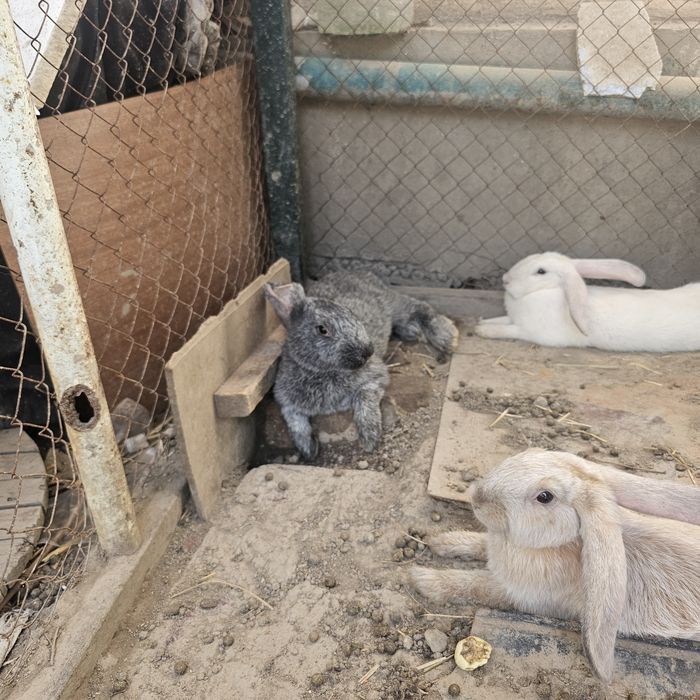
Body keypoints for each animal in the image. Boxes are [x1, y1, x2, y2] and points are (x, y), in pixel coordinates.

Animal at [264, 271, 458, 461]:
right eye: (322, 329)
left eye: (350, 312)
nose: (368, 351)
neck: (321, 371)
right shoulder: (286, 401)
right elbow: (294, 420)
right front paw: (308, 449)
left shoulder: (374, 377)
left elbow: (365, 399)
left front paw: (369, 437)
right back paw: (412, 331)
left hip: (392, 303)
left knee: (420, 307)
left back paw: (447, 337)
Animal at [410, 449, 700, 681]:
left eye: (545, 496)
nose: (477, 498)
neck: (561, 544)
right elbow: (478, 545)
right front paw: (443, 542)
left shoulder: (520, 595)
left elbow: (474, 584)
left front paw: (422, 579)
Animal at [475, 251, 700, 352]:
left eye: (541, 272)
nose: (505, 279)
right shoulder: (513, 318)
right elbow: (501, 319)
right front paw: (481, 322)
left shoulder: (531, 331)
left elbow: (508, 330)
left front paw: (483, 331)